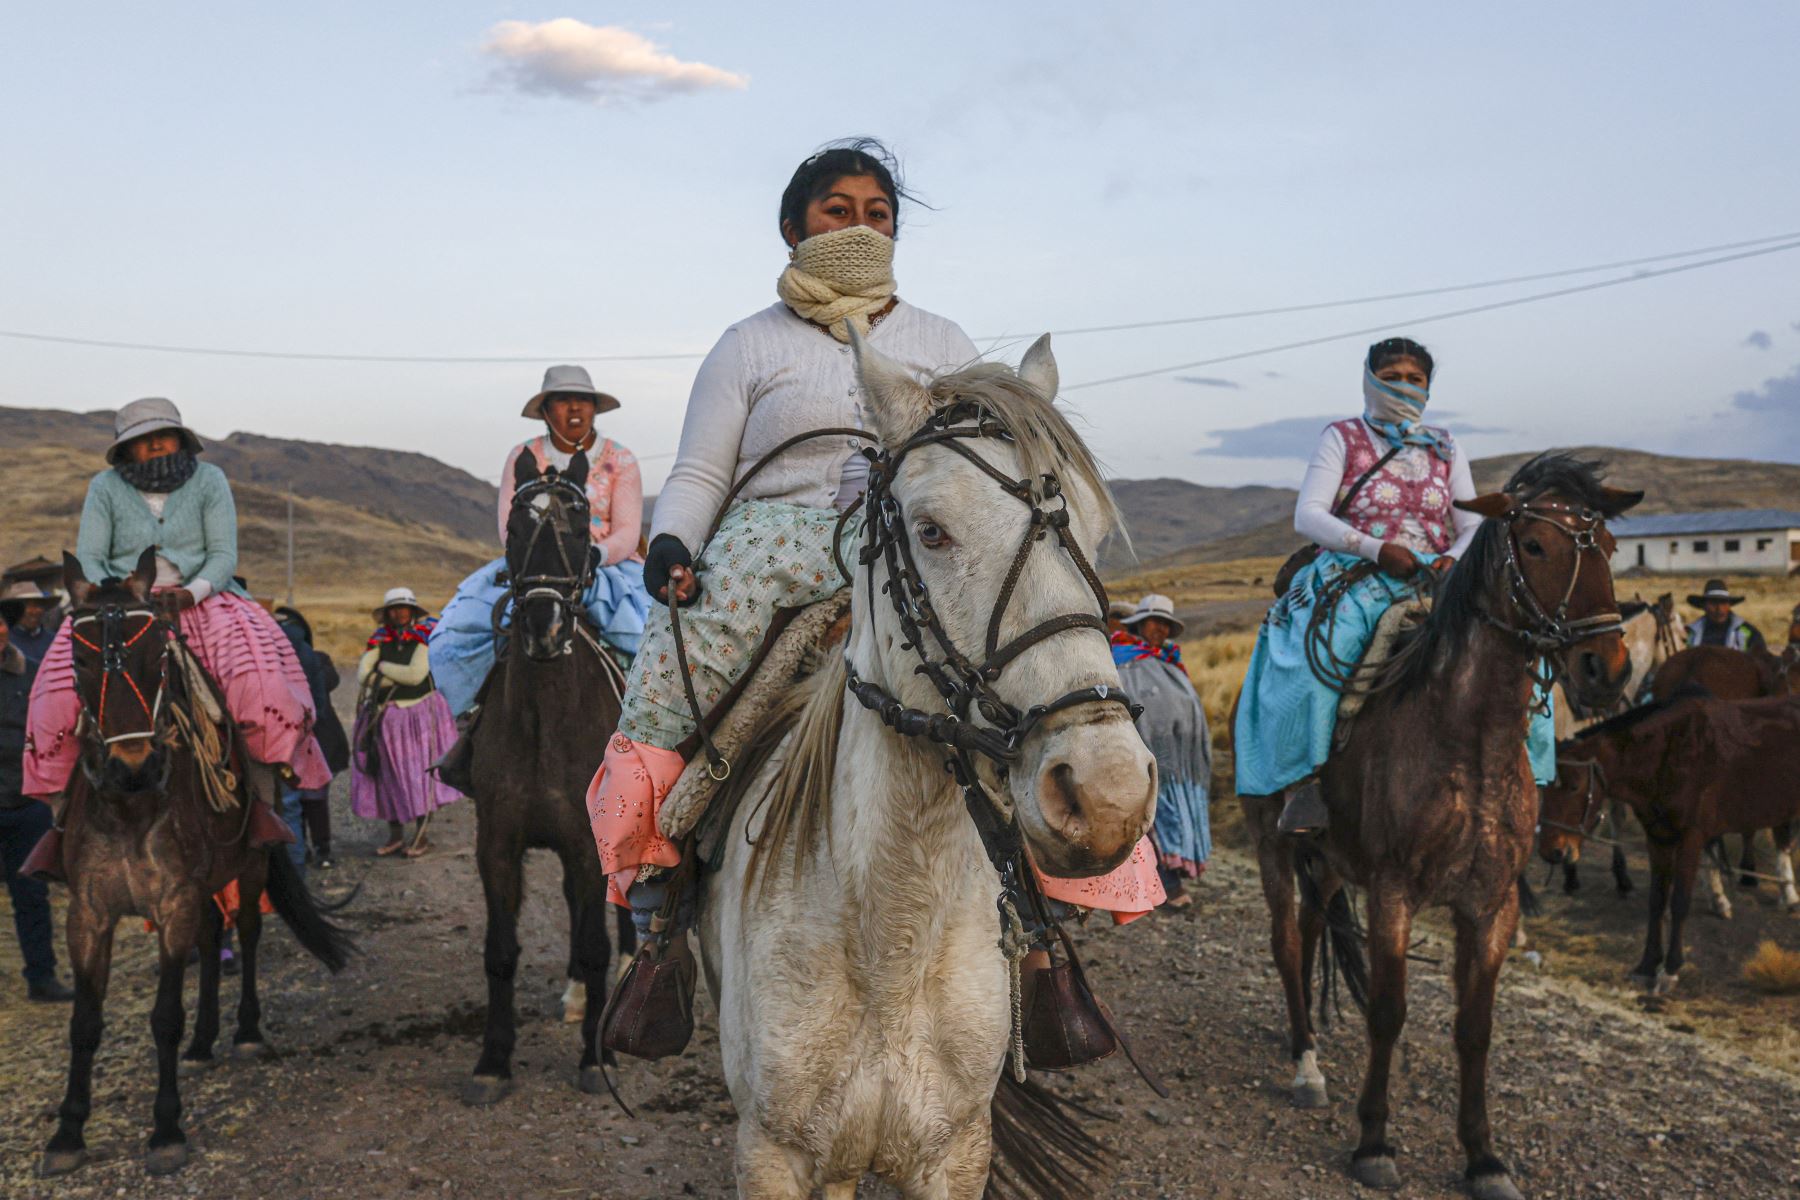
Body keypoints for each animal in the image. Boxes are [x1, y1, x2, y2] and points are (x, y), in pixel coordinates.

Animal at [39, 557, 351, 1180]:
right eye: (79, 660)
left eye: (158, 654)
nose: (132, 766)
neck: (129, 807)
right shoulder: (89, 914)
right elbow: (84, 1022)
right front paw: (67, 1133)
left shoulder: (174, 901)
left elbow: (164, 1015)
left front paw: (166, 1130)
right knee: (211, 939)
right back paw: (205, 1041)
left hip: (248, 863)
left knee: (246, 932)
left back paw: (245, 1032)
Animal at [457, 449, 640, 1108]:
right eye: (513, 526)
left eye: (581, 526)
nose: (543, 624)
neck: (543, 728)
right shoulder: (497, 844)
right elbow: (500, 953)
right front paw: (492, 1061)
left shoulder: (588, 845)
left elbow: (593, 945)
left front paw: (594, 1057)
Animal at [694, 336, 1159, 1200]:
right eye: (932, 530)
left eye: (1096, 531)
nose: (1106, 792)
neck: (890, 944)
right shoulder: (770, 1151)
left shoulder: (955, 1151)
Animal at [1238, 453, 1648, 1200]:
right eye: (1534, 545)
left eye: (1607, 546)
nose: (1606, 670)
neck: (1469, 743)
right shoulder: (1394, 891)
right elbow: (1389, 1011)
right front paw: (1374, 1142)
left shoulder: (1492, 904)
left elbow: (1475, 1028)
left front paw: (1484, 1157)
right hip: (1273, 843)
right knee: (1284, 942)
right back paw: (1305, 1064)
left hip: (1330, 861)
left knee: (1309, 933)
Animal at [1540, 694, 1800, 993]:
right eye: (1541, 786)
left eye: (1573, 787)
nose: (1551, 850)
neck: (1669, 754)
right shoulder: (1658, 838)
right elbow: (1657, 900)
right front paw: (1647, 965)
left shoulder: (1691, 839)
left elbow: (1679, 902)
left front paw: (1671, 969)